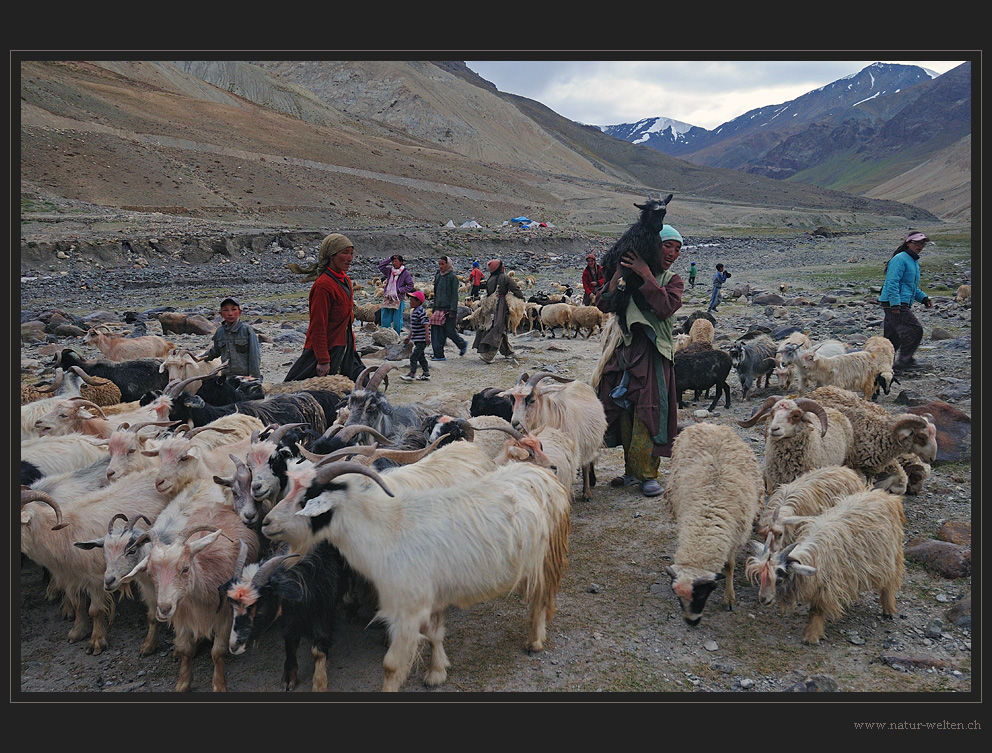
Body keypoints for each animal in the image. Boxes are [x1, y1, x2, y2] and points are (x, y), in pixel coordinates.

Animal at [664, 424, 764, 624]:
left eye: (702, 595)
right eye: (678, 597)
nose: (691, 622)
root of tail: (707, 424)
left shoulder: (736, 536)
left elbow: (729, 566)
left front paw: (729, 598)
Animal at [744, 488, 908, 648]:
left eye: (779, 579)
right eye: (761, 577)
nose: (763, 599)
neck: (815, 556)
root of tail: (889, 498)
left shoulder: (828, 585)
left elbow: (817, 610)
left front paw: (811, 636)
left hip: (892, 556)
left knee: (890, 582)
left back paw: (888, 610)